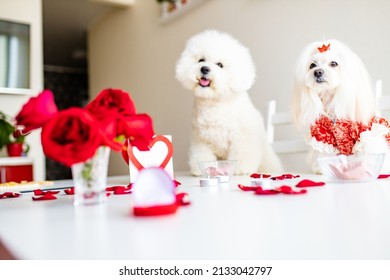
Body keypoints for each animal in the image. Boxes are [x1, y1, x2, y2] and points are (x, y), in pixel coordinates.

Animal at [175, 30, 282, 175]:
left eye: (220, 65)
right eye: (201, 60)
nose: (204, 69)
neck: (216, 104)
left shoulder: (242, 139)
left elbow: (241, 155)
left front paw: (240, 169)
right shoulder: (201, 141)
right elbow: (202, 156)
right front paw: (201, 170)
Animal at [292, 38, 390, 172]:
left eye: (334, 63)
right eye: (312, 65)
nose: (317, 72)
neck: (331, 101)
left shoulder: (367, 132)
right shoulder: (323, 138)